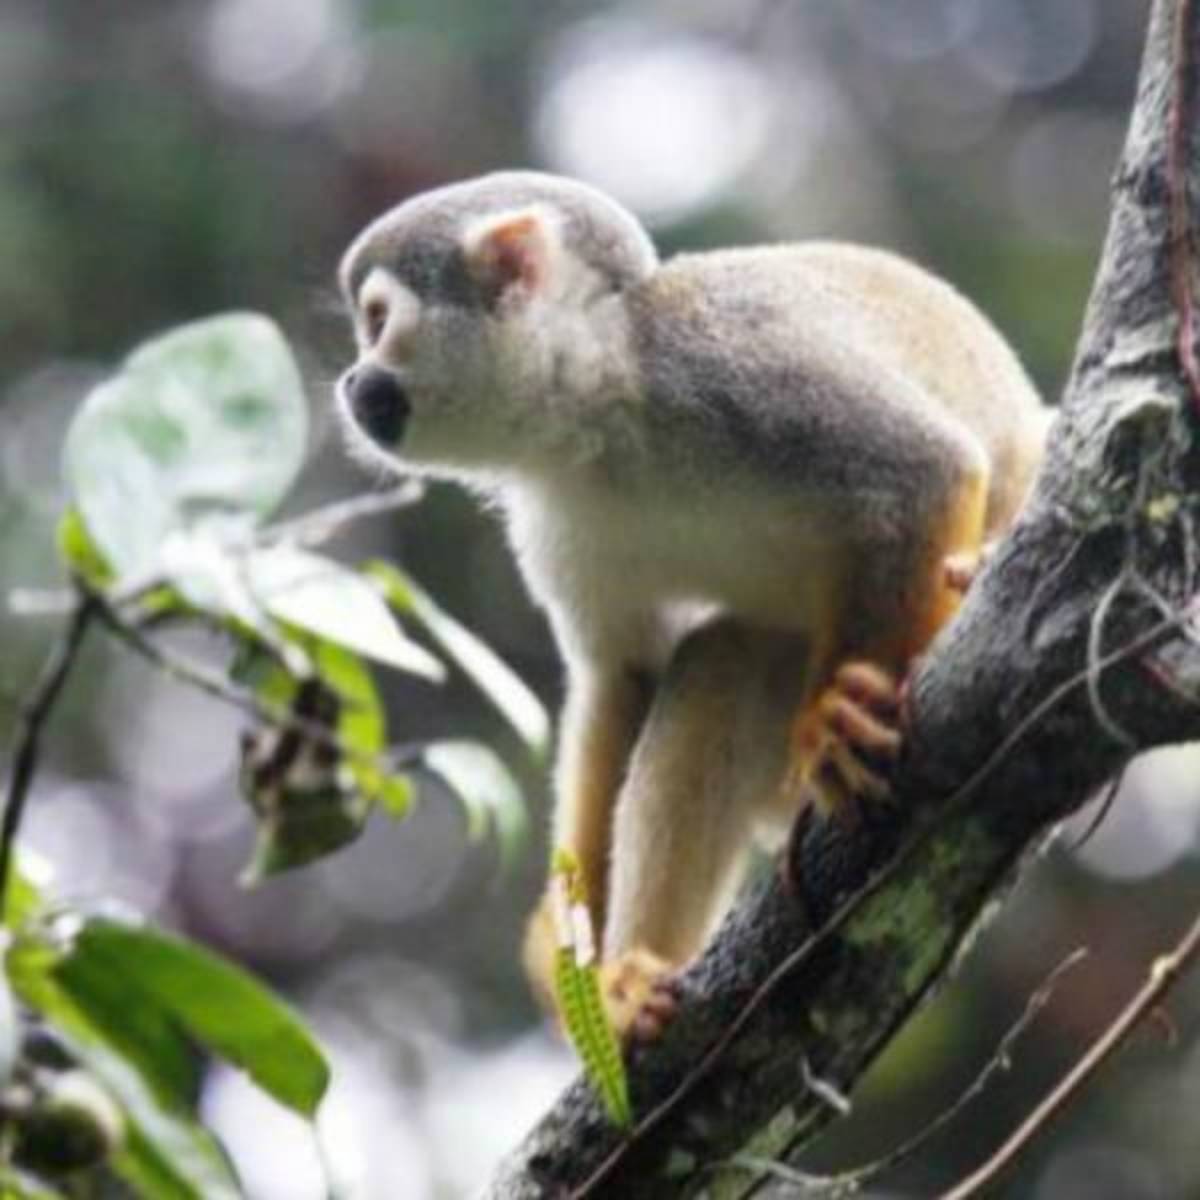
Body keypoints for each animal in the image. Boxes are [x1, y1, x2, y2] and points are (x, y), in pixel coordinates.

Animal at [335, 171, 1049, 1040]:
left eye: (377, 323)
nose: (352, 381)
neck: (603, 405)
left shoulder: (726, 365)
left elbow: (924, 472)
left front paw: (845, 720)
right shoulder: (555, 515)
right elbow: (624, 677)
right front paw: (570, 956)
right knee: (718, 669)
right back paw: (634, 981)